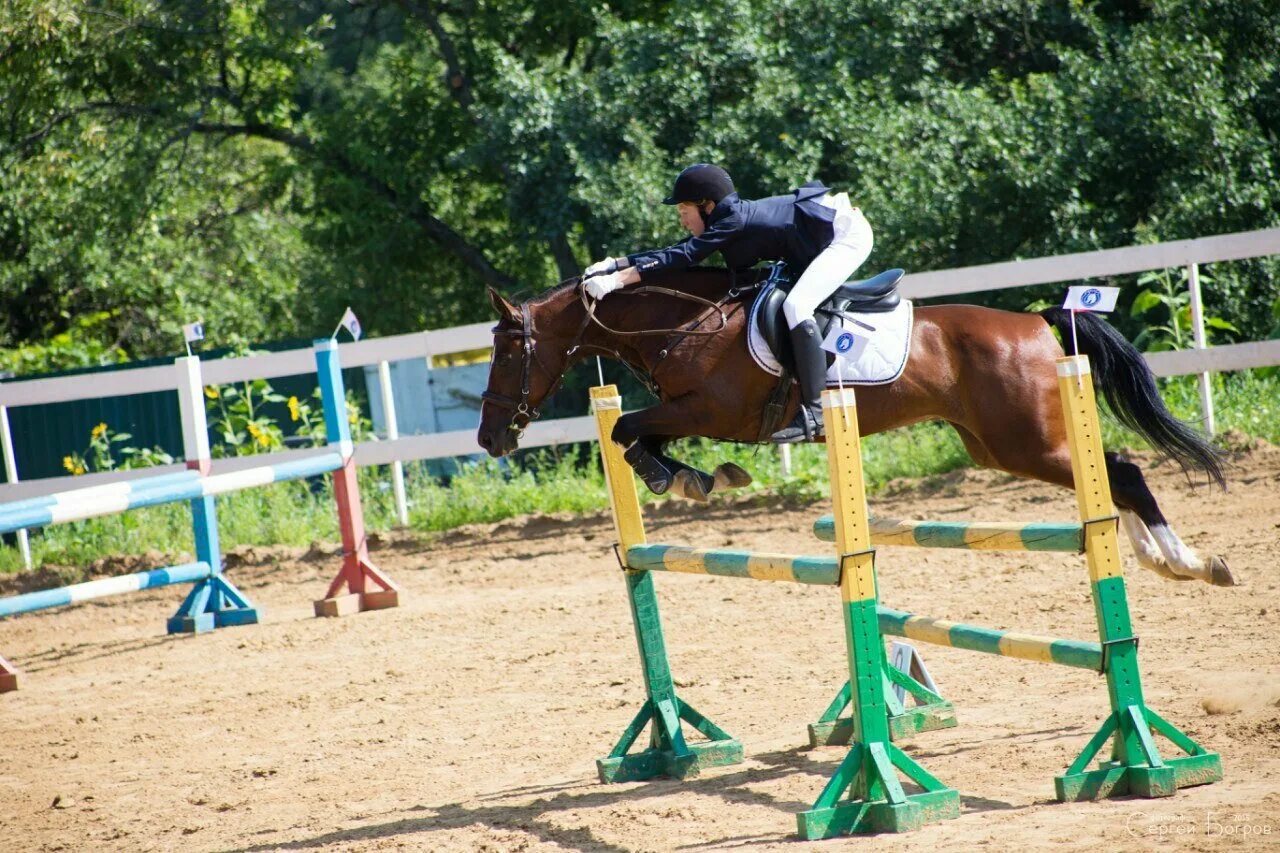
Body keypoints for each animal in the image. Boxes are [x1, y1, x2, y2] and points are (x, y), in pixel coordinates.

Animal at [476, 268, 1233, 589]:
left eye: (506, 351)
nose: (489, 438)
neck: (683, 324)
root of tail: (1038, 324)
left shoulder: (712, 411)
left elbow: (629, 430)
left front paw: (689, 476)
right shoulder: (690, 412)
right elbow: (636, 434)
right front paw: (696, 477)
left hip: (1027, 440)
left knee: (1124, 472)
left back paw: (1190, 561)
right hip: (1002, 446)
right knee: (1110, 476)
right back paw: (1159, 559)